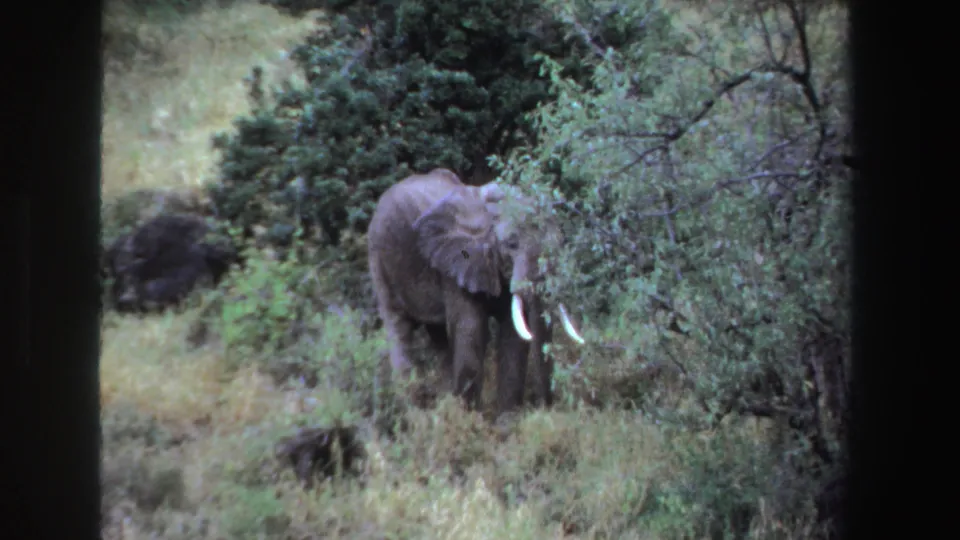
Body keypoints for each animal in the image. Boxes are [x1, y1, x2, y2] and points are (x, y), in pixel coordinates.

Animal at [367, 168, 586, 415]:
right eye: (511, 243)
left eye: (560, 242)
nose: (546, 407)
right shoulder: (454, 266)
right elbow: (470, 330)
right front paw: (470, 419)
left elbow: (513, 336)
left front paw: (505, 422)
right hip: (380, 262)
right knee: (398, 329)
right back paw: (414, 414)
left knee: (438, 336)